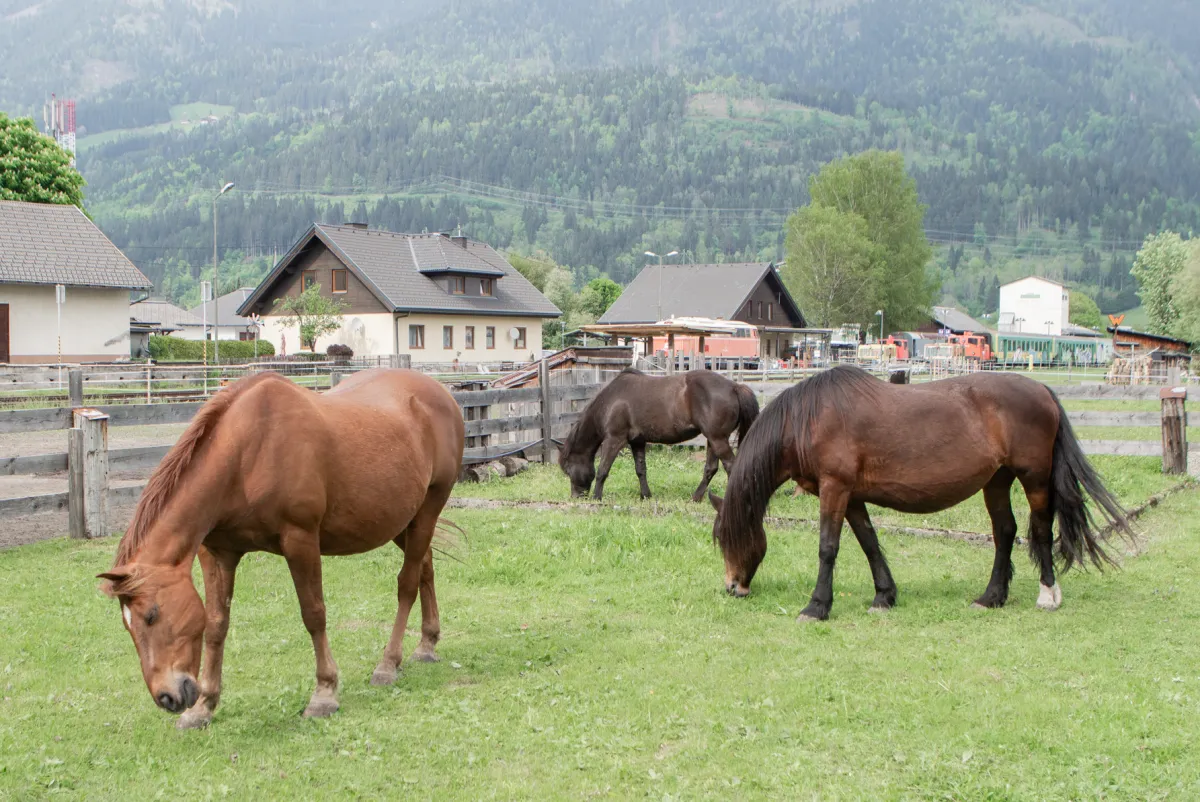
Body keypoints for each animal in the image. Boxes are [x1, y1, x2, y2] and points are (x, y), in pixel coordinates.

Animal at [97, 369, 464, 728]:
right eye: (127, 625)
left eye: (151, 615)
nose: (167, 698)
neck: (246, 454)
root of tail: (441, 394)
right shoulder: (217, 553)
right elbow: (216, 624)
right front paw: (204, 706)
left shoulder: (300, 540)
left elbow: (313, 614)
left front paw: (324, 694)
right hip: (401, 521)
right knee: (425, 568)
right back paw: (427, 644)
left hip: (427, 511)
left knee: (407, 584)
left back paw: (388, 663)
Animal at [559, 368, 759, 501]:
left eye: (568, 469)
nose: (576, 496)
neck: (611, 401)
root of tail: (734, 387)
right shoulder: (637, 442)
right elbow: (641, 470)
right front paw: (645, 495)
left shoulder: (614, 440)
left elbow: (602, 470)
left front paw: (596, 497)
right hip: (713, 439)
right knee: (711, 468)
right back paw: (695, 497)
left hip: (718, 439)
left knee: (731, 466)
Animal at [709, 364, 1132, 621]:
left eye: (725, 537)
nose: (732, 587)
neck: (808, 419)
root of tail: (1042, 388)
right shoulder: (853, 496)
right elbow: (869, 542)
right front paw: (884, 596)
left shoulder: (835, 488)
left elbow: (828, 547)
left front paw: (817, 606)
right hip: (996, 481)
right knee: (1005, 533)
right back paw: (991, 597)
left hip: (1035, 479)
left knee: (1041, 530)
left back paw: (1047, 594)